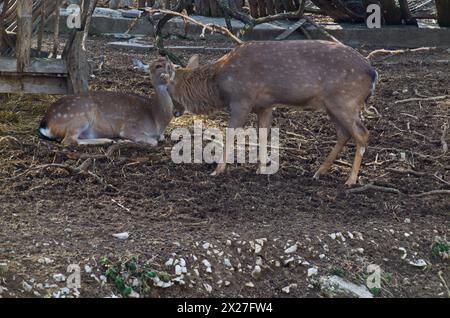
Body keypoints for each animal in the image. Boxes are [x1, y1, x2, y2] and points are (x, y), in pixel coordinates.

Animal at [37, 57, 172, 146]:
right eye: (158, 66)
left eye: (171, 63)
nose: (170, 67)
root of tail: (45, 123)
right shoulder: (130, 127)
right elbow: (153, 141)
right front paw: (125, 140)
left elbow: (161, 138)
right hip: (81, 116)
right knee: (68, 140)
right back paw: (109, 140)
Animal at [162, 40, 376, 184]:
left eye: (168, 90)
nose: (175, 113)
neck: (219, 85)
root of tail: (373, 73)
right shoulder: (264, 105)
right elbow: (263, 134)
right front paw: (262, 167)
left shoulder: (242, 99)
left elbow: (230, 133)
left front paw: (217, 170)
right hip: (333, 105)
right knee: (344, 133)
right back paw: (319, 172)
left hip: (345, 100)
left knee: (362, 133)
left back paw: (350, 180)